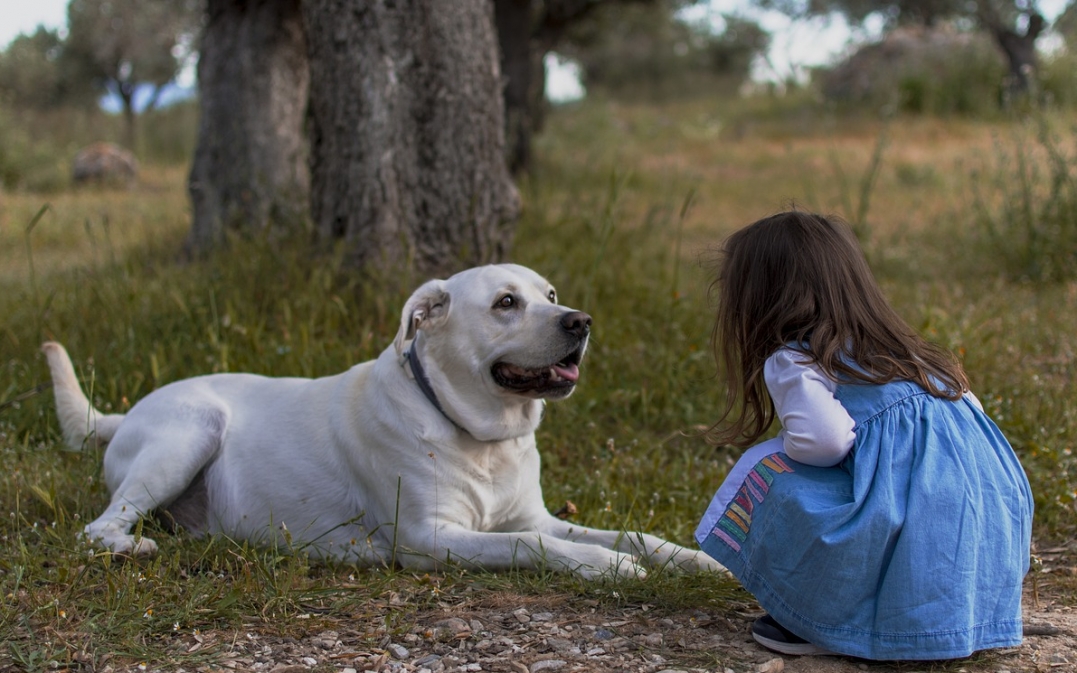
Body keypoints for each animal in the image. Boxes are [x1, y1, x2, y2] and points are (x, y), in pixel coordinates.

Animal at [44, 262, 723, 577]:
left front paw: (693, 559)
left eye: (550, 296)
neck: (480, 437)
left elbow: (630, 533)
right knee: (98, 528)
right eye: (506, 303)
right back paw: (131, 547)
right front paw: (606, 567)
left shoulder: (536, 515)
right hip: (191, 431)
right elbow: (531, 545)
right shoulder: (430, 538)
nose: (580, 322)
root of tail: (124, 413)